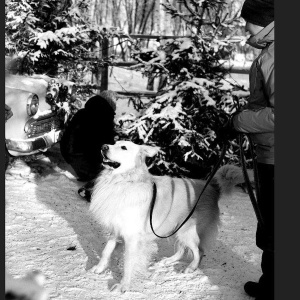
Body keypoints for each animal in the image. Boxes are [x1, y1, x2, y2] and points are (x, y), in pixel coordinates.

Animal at [89, 141, 244, 292]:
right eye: (114, 143)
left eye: (123, 147)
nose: (103, 147)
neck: (125, 180)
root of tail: (213, 188)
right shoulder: (116, 229)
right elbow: (106, 250)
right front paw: (99, 268)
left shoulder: (132, 237)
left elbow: (128, 263)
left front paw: (123, 286)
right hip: (175, 227)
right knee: (182, 249)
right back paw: (168, 261)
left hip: (187, 232)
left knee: (199, 251)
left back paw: (191, 267)